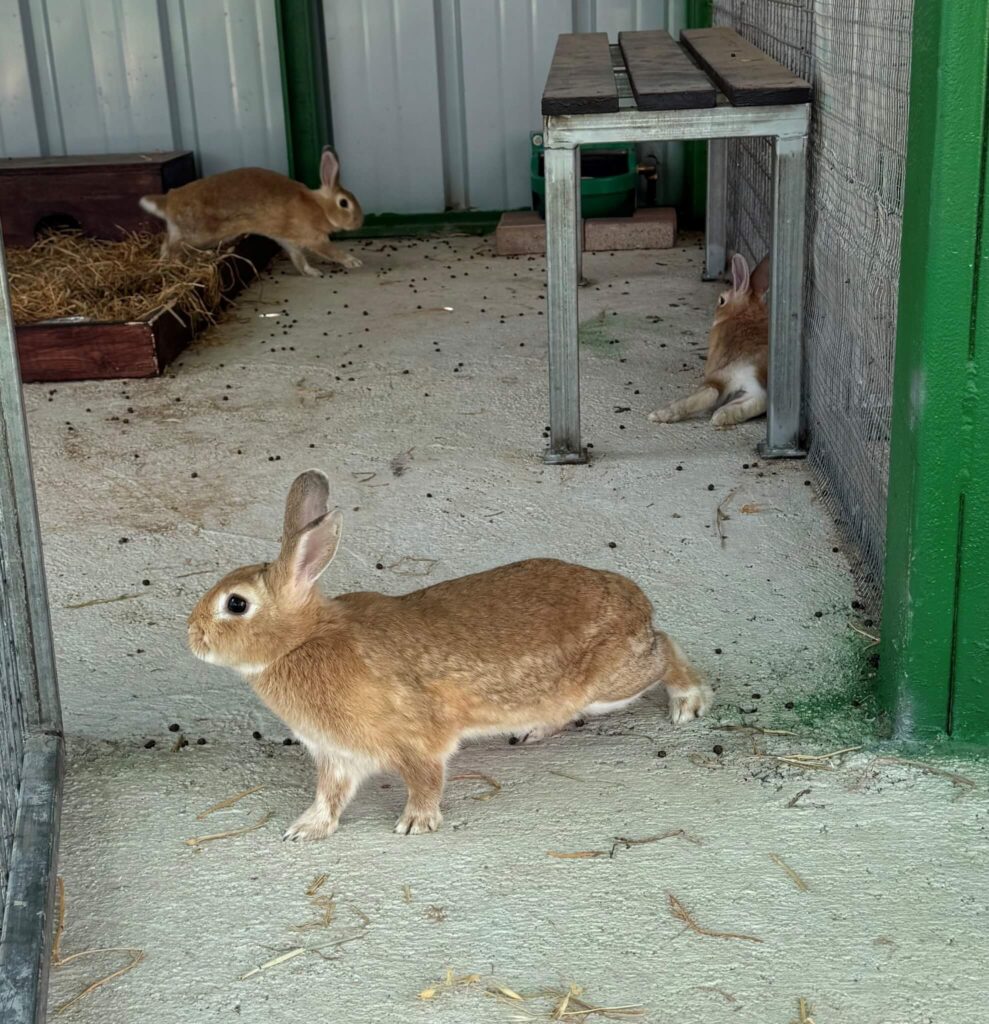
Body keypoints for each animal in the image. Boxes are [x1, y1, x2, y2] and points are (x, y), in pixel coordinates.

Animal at [139, 147, 363, 276]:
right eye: (344, 203)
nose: (360, 222)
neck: (320, 208)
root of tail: (168, 201)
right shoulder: (314, 239)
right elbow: (331, 251)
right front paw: (353, 262)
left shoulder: (288, 241)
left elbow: (298, 259)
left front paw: (313, 272)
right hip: (197, 234)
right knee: (173, 248)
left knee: (165, 245)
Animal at [187, 470, 712, 841]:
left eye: (236, 604)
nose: (192, 636)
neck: (302, 639)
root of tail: (638, 603)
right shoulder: (338, 756)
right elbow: (329, 797)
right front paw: (306, 830)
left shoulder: (415, 741)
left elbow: (425, 781)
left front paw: (415, 824)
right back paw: (533, 731)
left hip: (615, 681)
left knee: (666, 649)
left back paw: (689, 702)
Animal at [648, 253, 770, 428]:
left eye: (722, 300)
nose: (716, 310)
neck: (745, 313)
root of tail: (755, 369)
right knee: (760, 399)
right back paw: (724, 416)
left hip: (721, 374)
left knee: (711, 393)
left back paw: (661, 414)